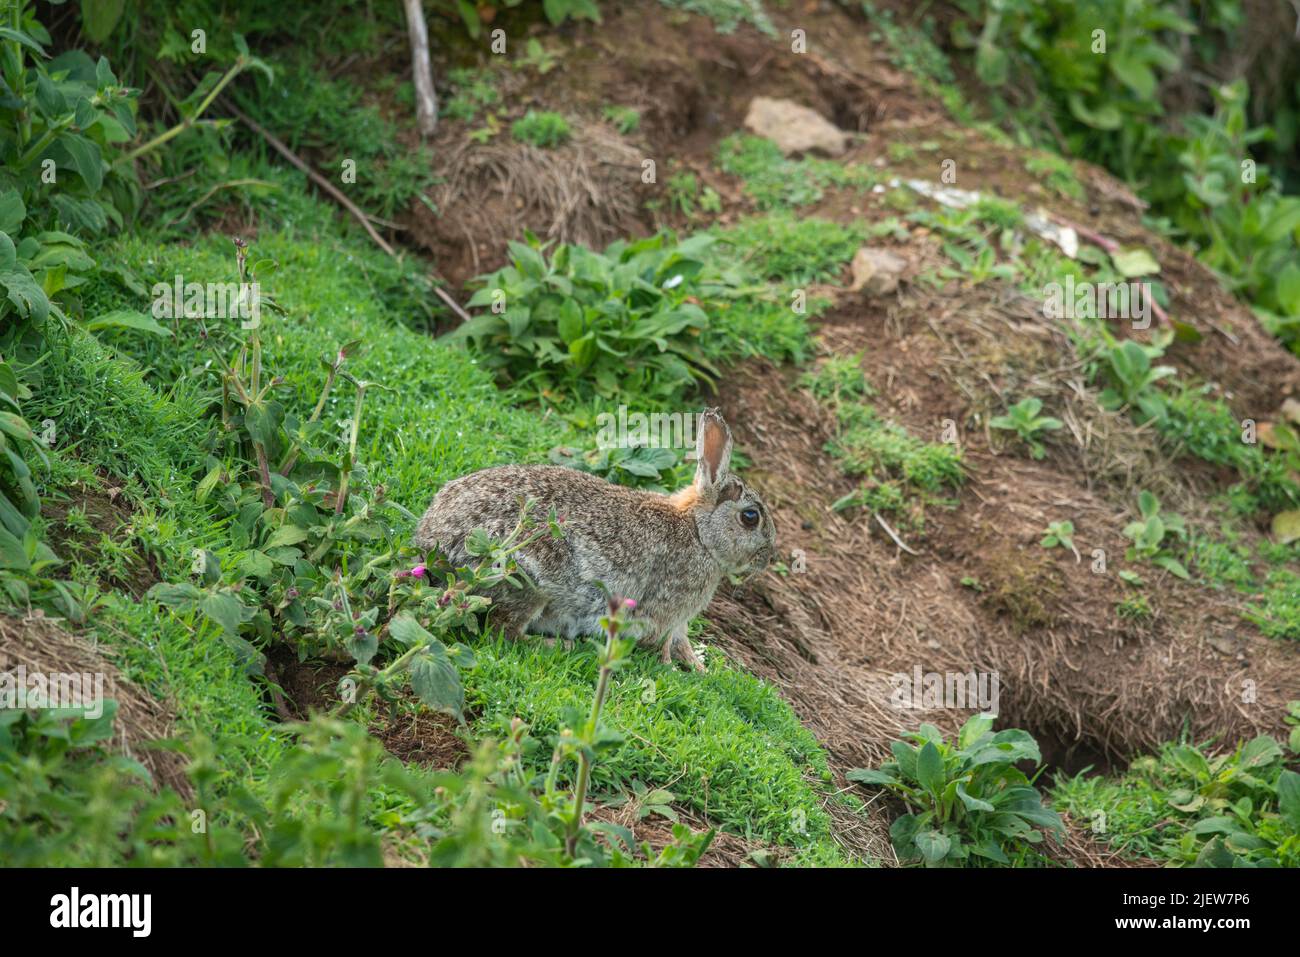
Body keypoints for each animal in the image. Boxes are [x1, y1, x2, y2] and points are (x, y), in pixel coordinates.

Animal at [412, 409, 775, 670]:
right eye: (750, 517)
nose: (768, 558)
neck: (700, 533)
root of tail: (432, 544)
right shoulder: (666, 609)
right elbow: (662, 643)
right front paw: (675, 667)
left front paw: (700, 668)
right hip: (527, 578)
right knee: (503, 631)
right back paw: (562, 644)